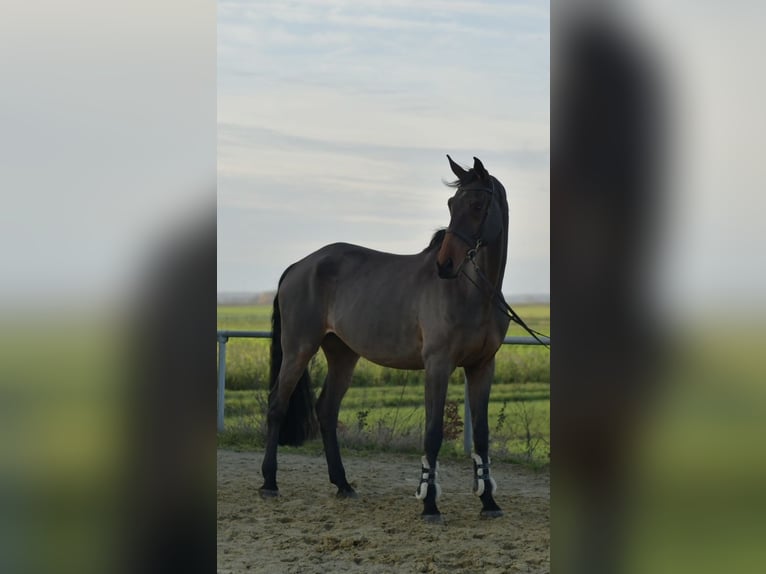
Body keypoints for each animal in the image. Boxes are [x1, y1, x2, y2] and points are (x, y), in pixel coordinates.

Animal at [260, 155, 511, 521]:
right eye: (452, 204)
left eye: (477, 205)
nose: (445, 264)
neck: (474, 292)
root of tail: (298, 266)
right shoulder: (438, 366)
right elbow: (433, 432)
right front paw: (429, 504)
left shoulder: (482, 366)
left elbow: (481, 435)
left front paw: (489, 501)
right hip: (298, 349)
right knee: (278, 404)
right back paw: (269, 482)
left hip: (342, 354)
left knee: (326, 410)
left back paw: (343, 484)